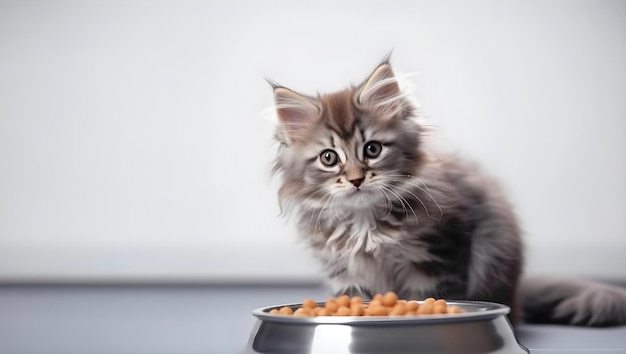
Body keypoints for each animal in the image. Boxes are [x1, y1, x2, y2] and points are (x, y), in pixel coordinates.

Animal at [270, 58, 624, 326]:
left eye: (372, 149)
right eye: (329, 158)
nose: (357, 179)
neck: (364, 219)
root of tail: (518, 294)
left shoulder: (438, 257)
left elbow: (427, 298)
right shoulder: (346, 274)